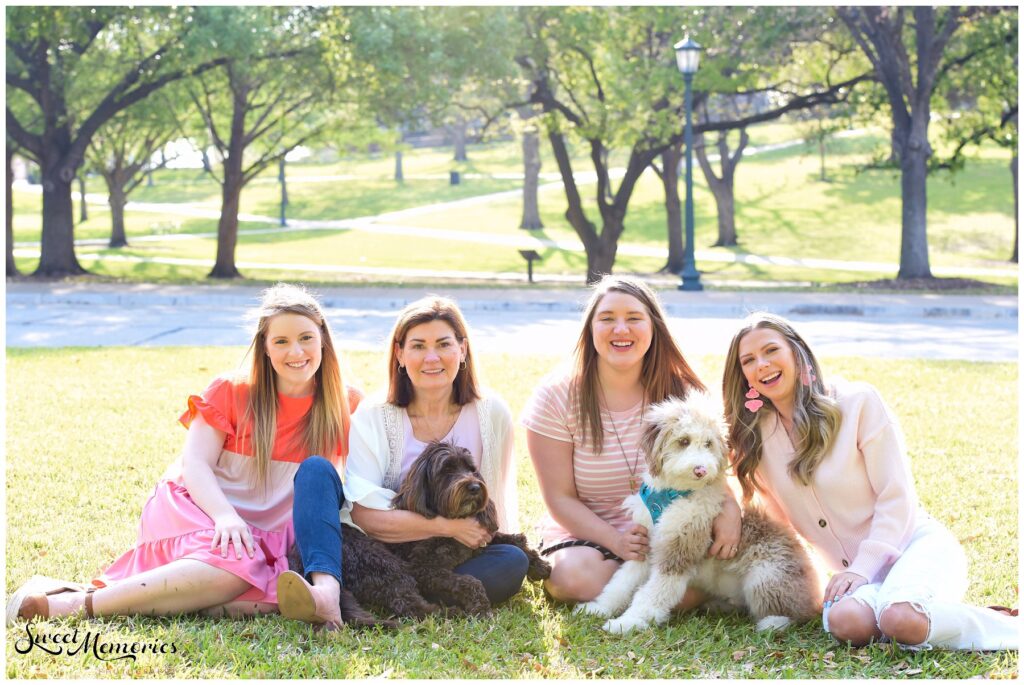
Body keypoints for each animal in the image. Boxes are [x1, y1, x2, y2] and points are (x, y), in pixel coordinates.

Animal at [581, 393, 819, 634]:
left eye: (708, 444)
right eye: (683, 441)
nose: (701, 470)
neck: (674, 494)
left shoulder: (679, 549)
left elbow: (653, 592)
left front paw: (629, 621)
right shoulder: (646, 545)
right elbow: (621, 582)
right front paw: (599, 608)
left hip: (766, 577)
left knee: (793, 613)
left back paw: (772, 623)